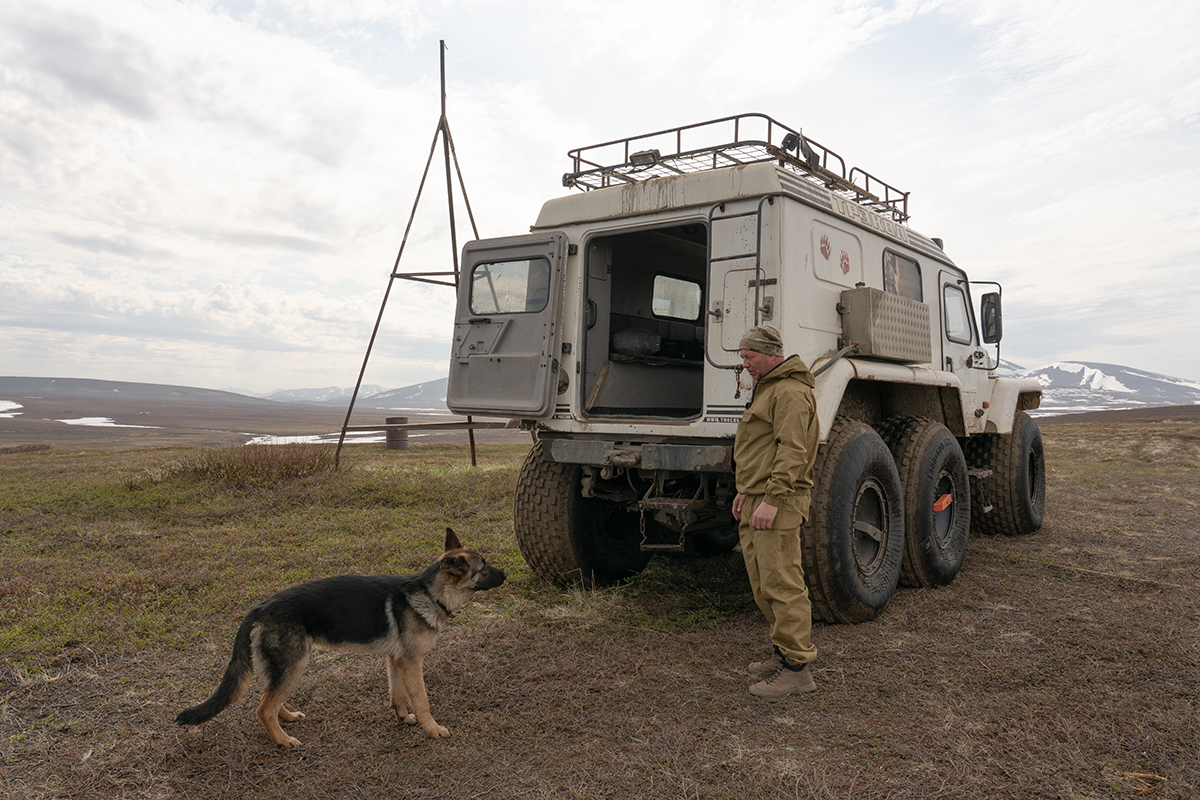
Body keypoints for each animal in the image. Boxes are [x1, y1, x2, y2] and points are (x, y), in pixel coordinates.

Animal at [174, 527, 501, 748]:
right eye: (484, 567)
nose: (507, 574)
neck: (430, 594)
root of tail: (259, 608)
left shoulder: (395, 661)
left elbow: (397, 694)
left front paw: (402, 718)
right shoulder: (411, 663)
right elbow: (421, 700)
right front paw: (432, 729)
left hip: (285, 668)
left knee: (269, 698)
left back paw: (286, 717)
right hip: (296, 665)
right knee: (263, 707)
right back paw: (282, 740)